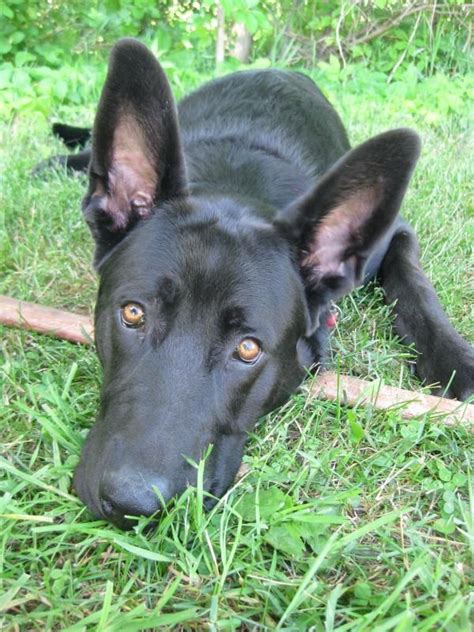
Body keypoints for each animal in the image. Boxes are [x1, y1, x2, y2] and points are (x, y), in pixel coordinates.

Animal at [45, 39, 474, 528]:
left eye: (248, 349)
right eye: (133, 314)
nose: (130, 506)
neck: (239, 186)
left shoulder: (396, 235)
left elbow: (415, 283)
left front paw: (454, 359)